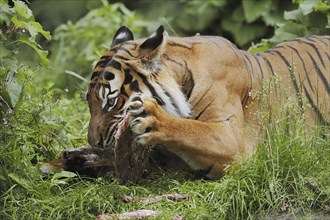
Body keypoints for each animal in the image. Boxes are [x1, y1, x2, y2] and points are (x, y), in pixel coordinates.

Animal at [86, 25, 328, 180]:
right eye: (89, 102)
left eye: (111, 101)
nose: (94, 142)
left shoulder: (232, 138)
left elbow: (192, 129)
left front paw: (154, 120)